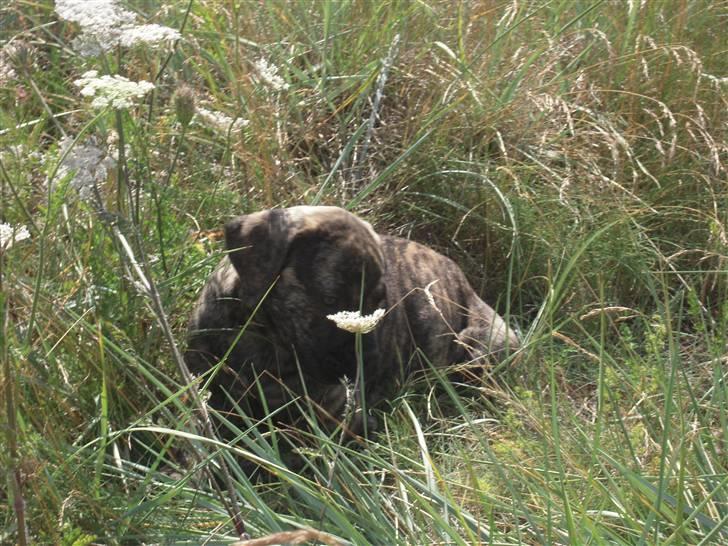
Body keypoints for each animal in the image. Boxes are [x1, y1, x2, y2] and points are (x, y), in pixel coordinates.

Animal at [185, 204, 520, 434]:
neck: (265, 339)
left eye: (379, 304)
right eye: (331, 300)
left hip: (478, 347)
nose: (368, 361)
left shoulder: (339, 418)